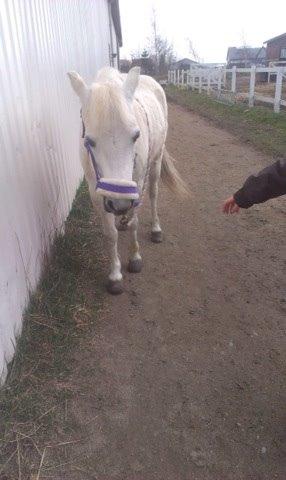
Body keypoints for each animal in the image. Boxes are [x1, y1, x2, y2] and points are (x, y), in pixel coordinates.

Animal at [68, 66, 187, 292]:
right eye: (89, 141)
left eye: (136, 136)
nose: (120, 203)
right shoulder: (96, 191)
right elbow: (110, 233)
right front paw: (115, 275)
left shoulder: (137, 185)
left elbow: (134, 223)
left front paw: (134, 258)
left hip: (156, 162)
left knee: (154, 194)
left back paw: (155, 229)